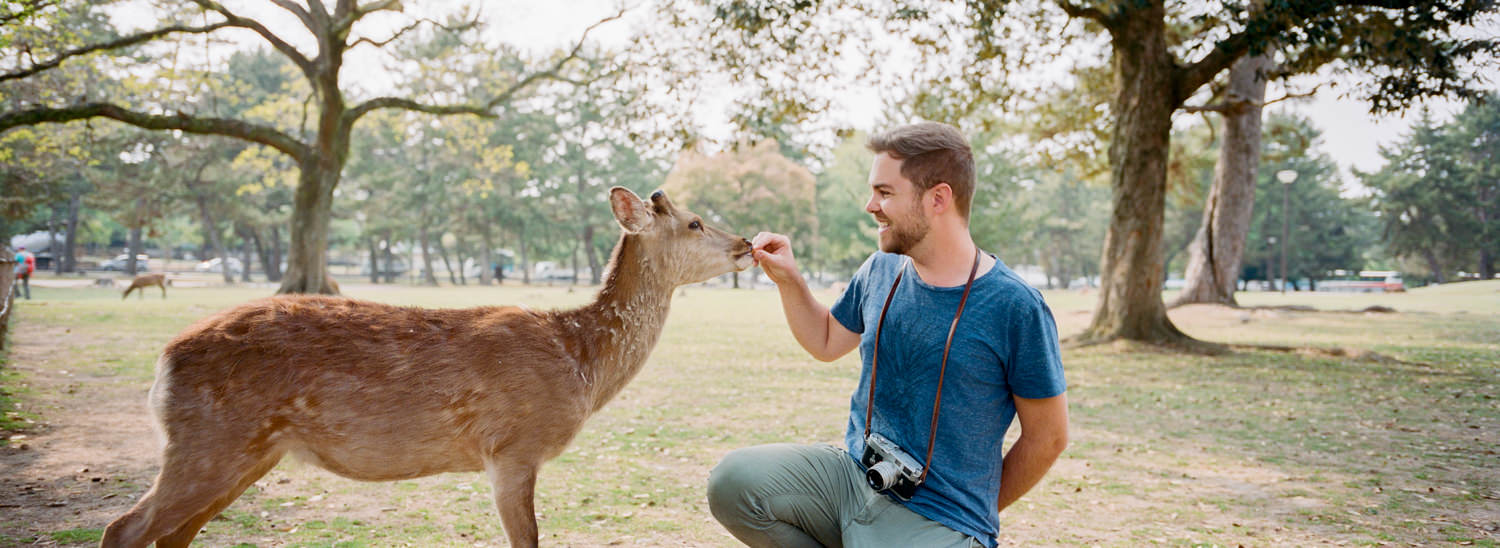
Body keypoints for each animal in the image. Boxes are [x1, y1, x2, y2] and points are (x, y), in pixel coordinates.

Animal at [105, 185, 756, 543]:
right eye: (695, 221)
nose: (748, 243)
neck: (579, 362)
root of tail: (164, 363)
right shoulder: (513, 445)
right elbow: (530, 538)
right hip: (209, 440)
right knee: (123, 528)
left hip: (246, 450)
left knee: (171, 535)